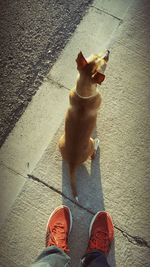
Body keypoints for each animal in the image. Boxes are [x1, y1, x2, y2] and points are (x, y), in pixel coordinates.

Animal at [58, 50, 109, 201]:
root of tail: (72, 163)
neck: (84, 95)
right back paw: (97, 144)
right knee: (93, 154)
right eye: (104, 63)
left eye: (95, 54)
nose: (108, 52)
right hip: (90, 143)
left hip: (61, 139)